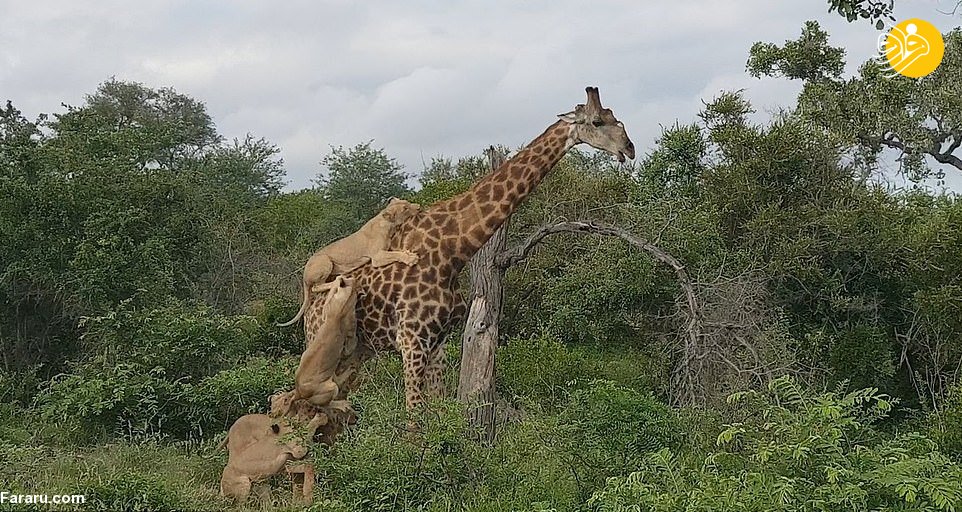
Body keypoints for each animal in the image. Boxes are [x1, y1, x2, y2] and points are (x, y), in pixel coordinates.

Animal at [274, 198, 416, 326]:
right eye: (405, 208)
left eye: (406, 202)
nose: (418, 207)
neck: (387, 223)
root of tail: (304, 277)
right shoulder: (376, 257)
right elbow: (395, 254)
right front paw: (411, 258)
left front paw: (408, 254)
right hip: (326, 261)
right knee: (316, 287)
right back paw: (337, 281)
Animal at [306, 86, 632, 410]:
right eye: (597, 122)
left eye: (614, 116)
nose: (629, 148)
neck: (452, 253)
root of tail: (309, 308)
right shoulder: (412, 340)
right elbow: (414, 416)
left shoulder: (437, 342)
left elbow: (438, 412)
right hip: (325, 346)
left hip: (359, 350)